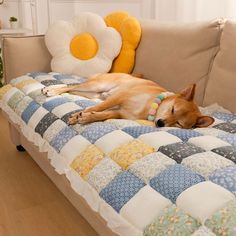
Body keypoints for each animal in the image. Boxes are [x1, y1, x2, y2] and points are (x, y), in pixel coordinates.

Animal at [42, 73, 214, 128]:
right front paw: (79, 114)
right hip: (97, 85)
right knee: (73, 85)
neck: (149, 107)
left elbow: (103, 114)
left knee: (72, 88)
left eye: (179, 124)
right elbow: (96, 109)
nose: (160, 123)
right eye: (172, 109)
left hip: (93, 94)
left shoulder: (120, 113)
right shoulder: (119, 97)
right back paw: (52, 90)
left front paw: (87, 117)